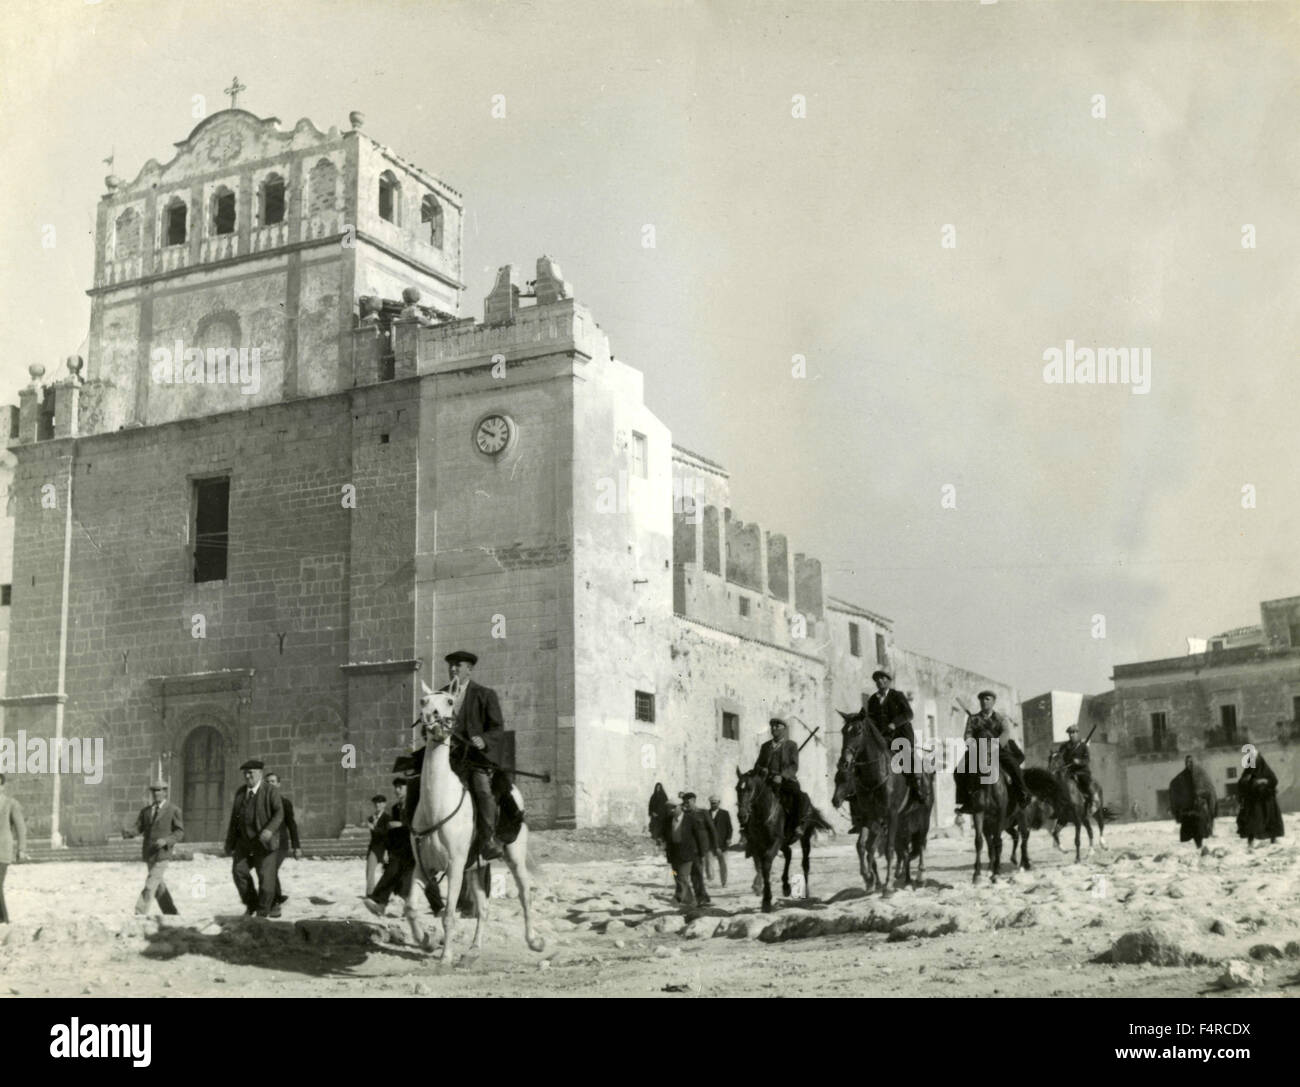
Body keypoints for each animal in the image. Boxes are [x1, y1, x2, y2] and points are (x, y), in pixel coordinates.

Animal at [410, 681, 543, 962]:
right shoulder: (423, 867)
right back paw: (473, 950)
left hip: (513, 856)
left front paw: (445, 957)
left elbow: (448, 914)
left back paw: (535, 941)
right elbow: (411, 908)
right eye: (423, 701)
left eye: (449, 701)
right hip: (476, 868)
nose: (431, 720)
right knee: (483, 907)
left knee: (525, 895)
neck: (437, 804)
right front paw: (426, 941)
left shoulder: (455, 866)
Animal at [733, 769, 832, 915]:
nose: (742, 816)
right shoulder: (757, 845)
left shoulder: (775, 842)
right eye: (737, 788)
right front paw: (758, 887)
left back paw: (805, 892)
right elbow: (759, 866)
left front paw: (766, 901)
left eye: (750, 789)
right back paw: (786, 886)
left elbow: (766, 864)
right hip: (783, 843)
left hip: (804, 838)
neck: (763, 815)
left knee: (805, 864)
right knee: (788, 853)